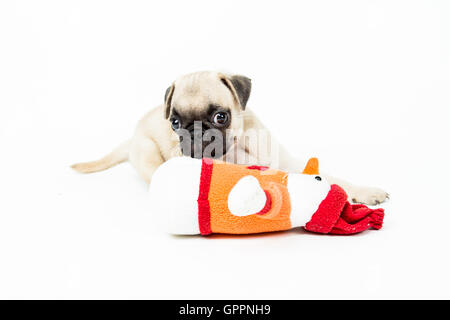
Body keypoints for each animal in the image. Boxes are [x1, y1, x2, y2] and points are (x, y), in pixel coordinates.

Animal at [72, 70, 388, 205]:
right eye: (175, 123)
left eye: (220, 117)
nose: (195, 133)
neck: (240, 146)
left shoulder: (289, 162)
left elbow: (335, 179)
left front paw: (363, 191)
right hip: (150, 155)